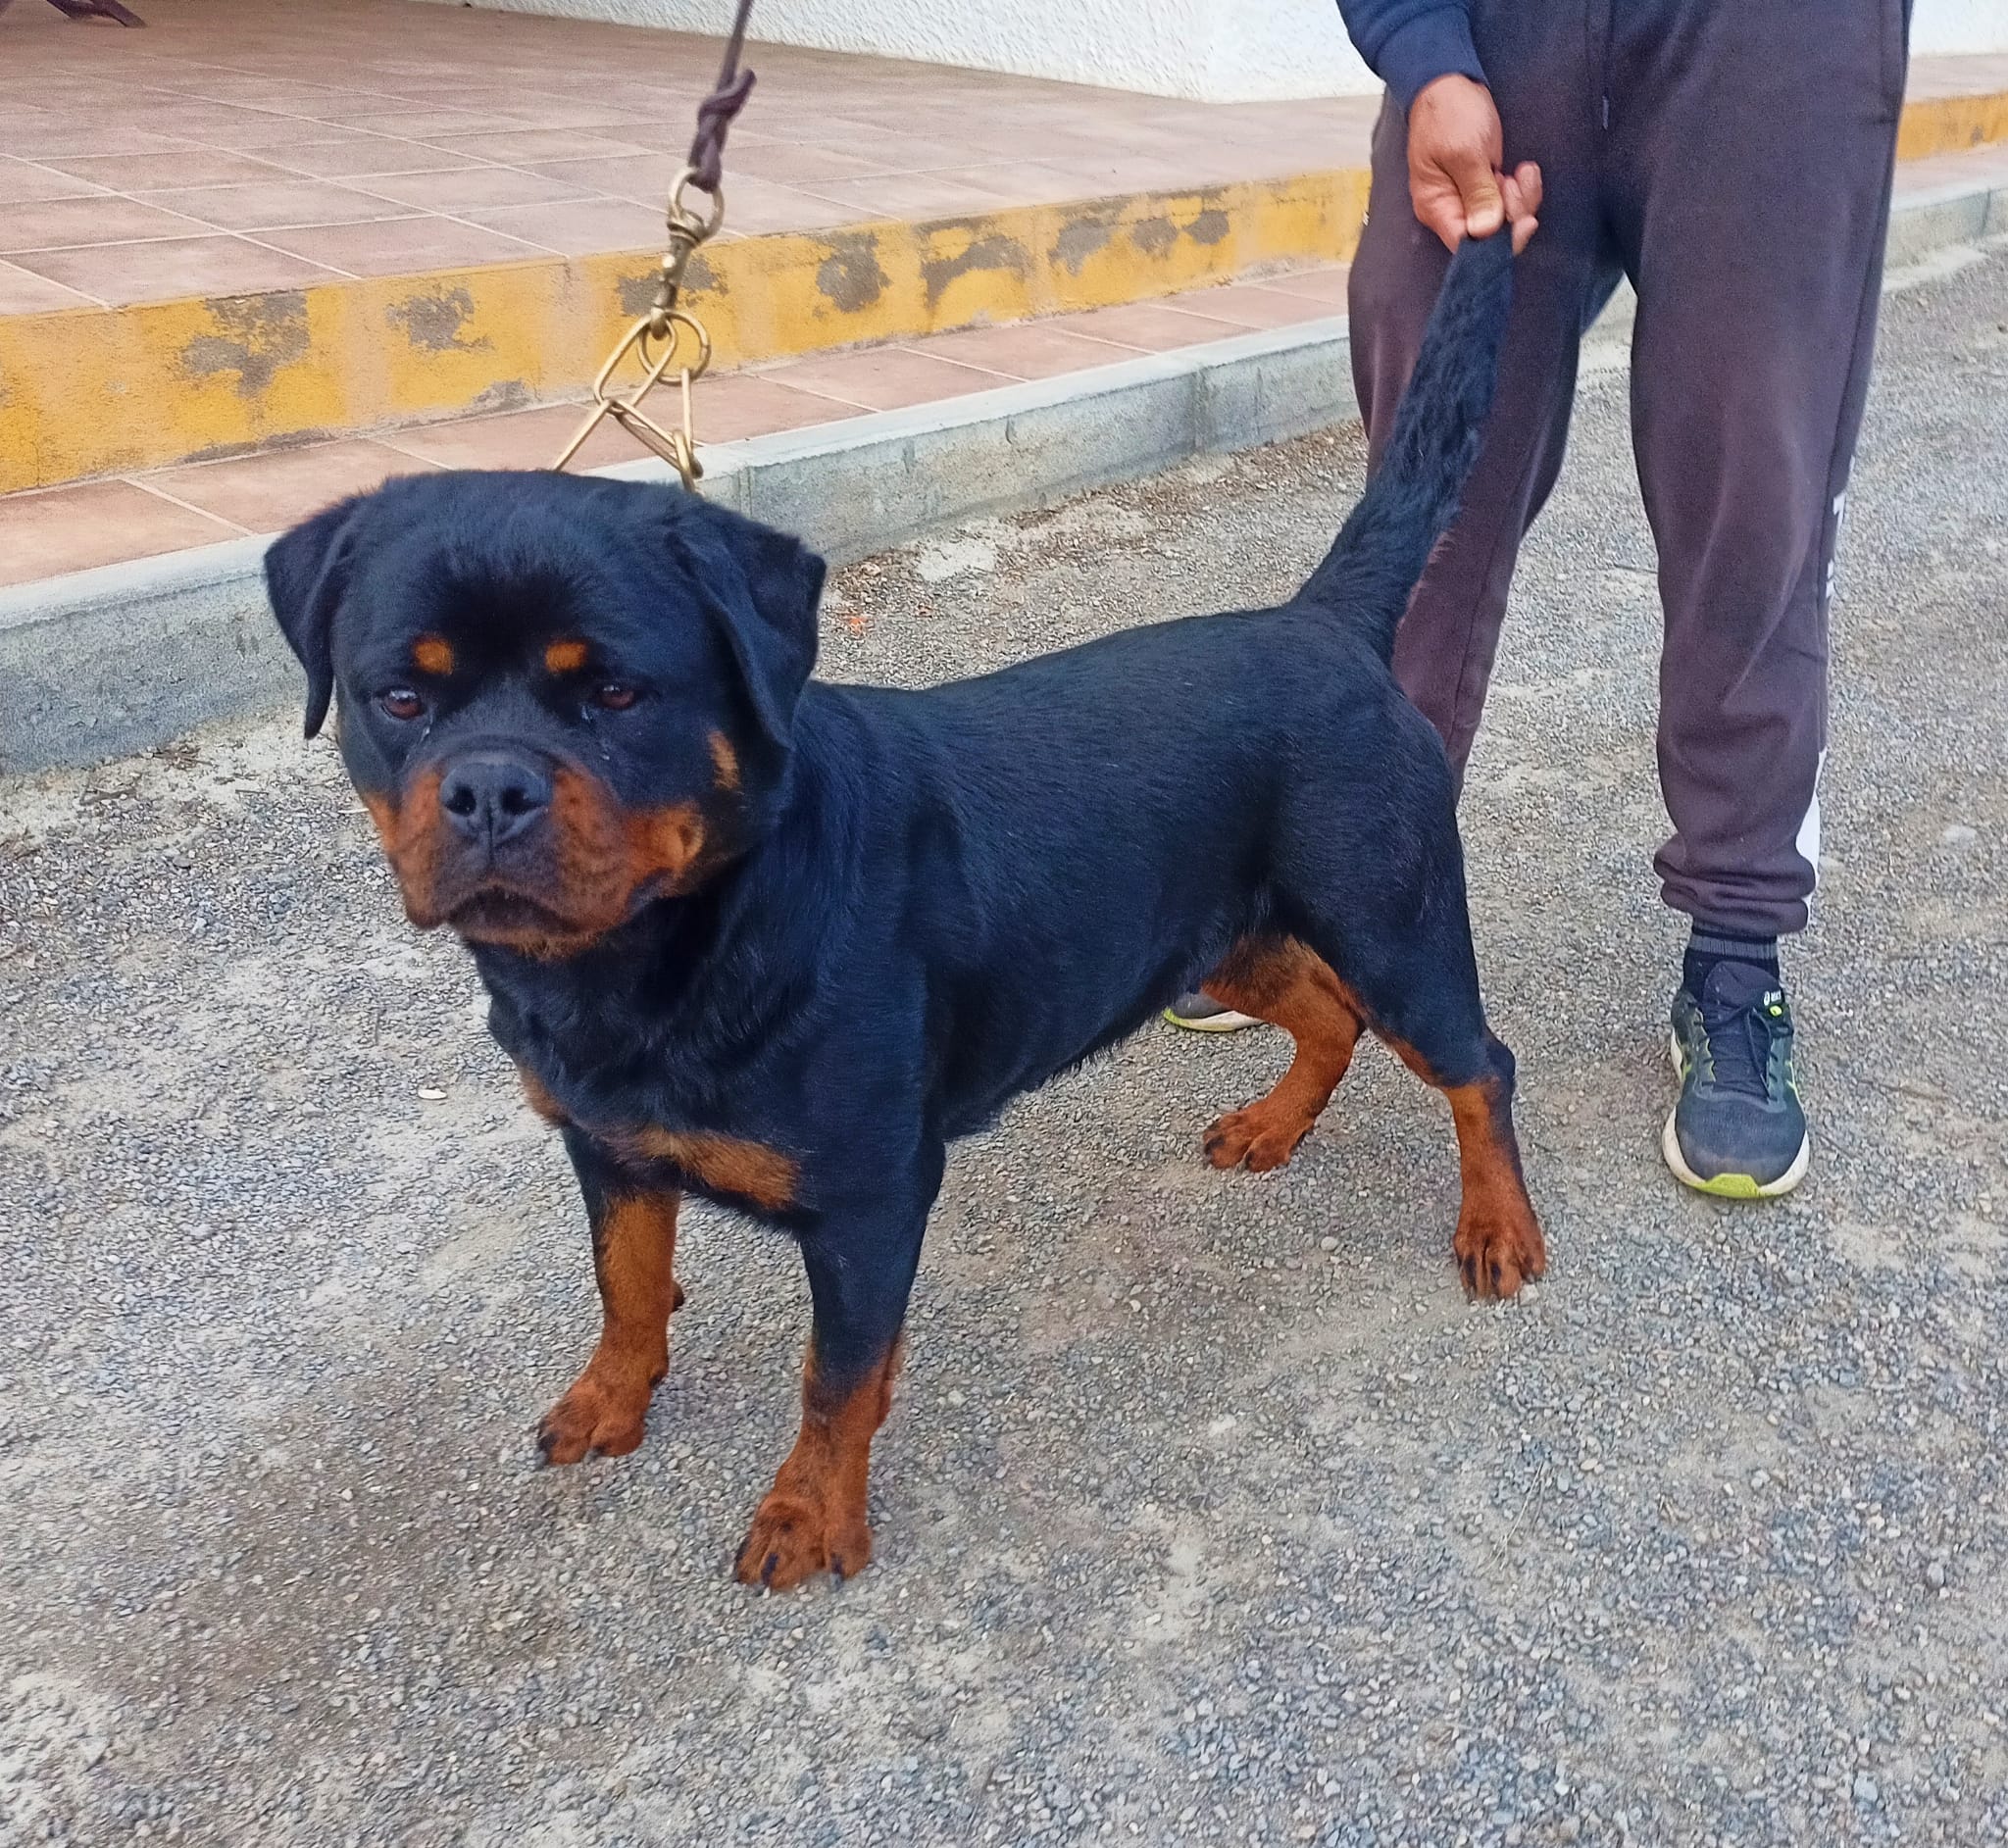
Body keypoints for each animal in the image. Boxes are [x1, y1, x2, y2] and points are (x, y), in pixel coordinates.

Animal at [265, 231, 1543, 1590]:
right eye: (399, 696)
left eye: (615, 692)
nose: (487, 789)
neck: (683, 939)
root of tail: (1322, 624)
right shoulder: (605, 1147)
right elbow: (625, 1285)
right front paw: (612, 1398)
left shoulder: (871, 1196)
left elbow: (836, 1379)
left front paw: (808, 1515)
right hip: (1207, 938)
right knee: (1324, 1014)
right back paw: (1271, 1124)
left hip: (1391, 923)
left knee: (1476, 1062)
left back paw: (1497, 1226)